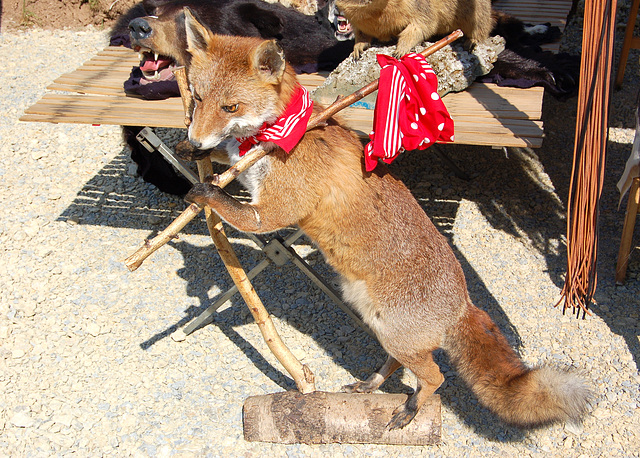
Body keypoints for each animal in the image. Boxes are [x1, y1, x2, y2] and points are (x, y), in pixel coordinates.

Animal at [180, 7, 592, 430]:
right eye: (198, 97)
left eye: (231, 107)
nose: (195, 140)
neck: (280, 134)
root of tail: (462, 303)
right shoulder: (249, 172)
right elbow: (228, 156)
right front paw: (195, 154)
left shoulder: (275, 210)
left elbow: (235, 207)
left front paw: (204, 192)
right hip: (380, 325)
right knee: (399, 363)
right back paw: (371, 384)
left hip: (395, 333)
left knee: (436, 376)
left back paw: (411, 409)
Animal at [338, 0, 492, 57]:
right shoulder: (357, 22)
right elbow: (361, 35)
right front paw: (357, 49)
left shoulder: (420, 7)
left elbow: (420, 25)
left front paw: (400, 50)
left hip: (478, 12)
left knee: (482, 27)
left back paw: (472, 42)